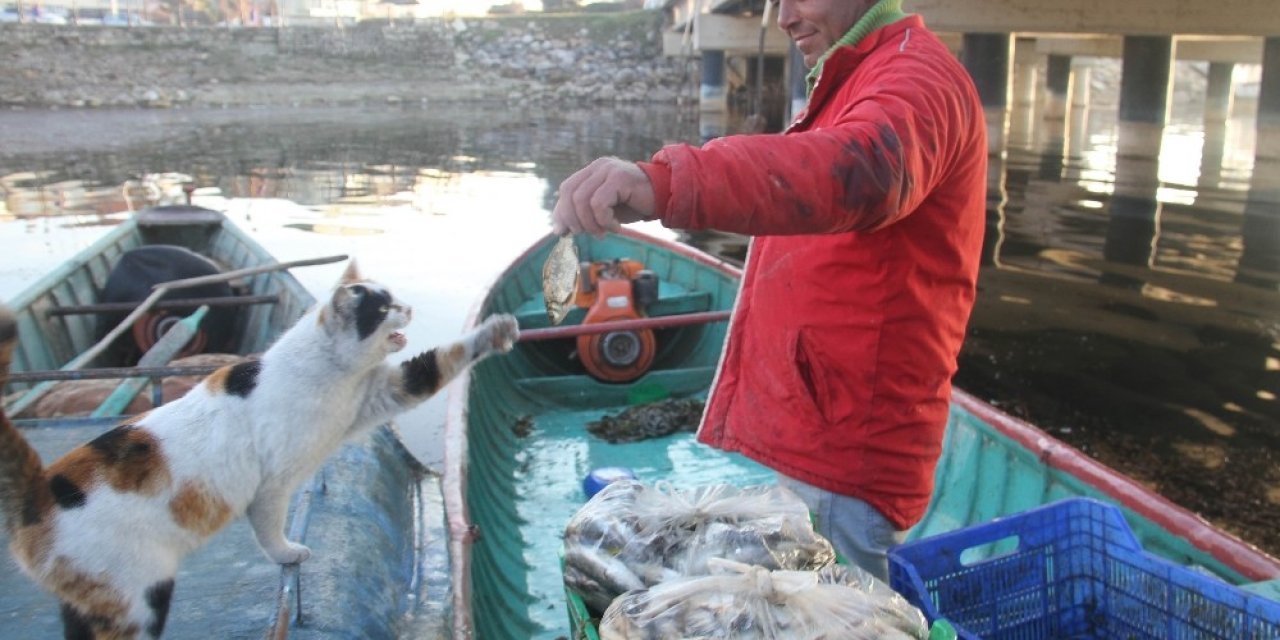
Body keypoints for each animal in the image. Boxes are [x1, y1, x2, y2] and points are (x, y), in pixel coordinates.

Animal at [1, 262, 519, 637]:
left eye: (393, 298)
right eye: (383, 307)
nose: (407, 308)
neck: (333, 375)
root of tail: (37, 495)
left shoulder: (380, 395)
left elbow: (437, 363)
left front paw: (496, 332)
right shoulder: (274, 484)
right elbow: (271, 530)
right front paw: (289, 554)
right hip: (134, 596)